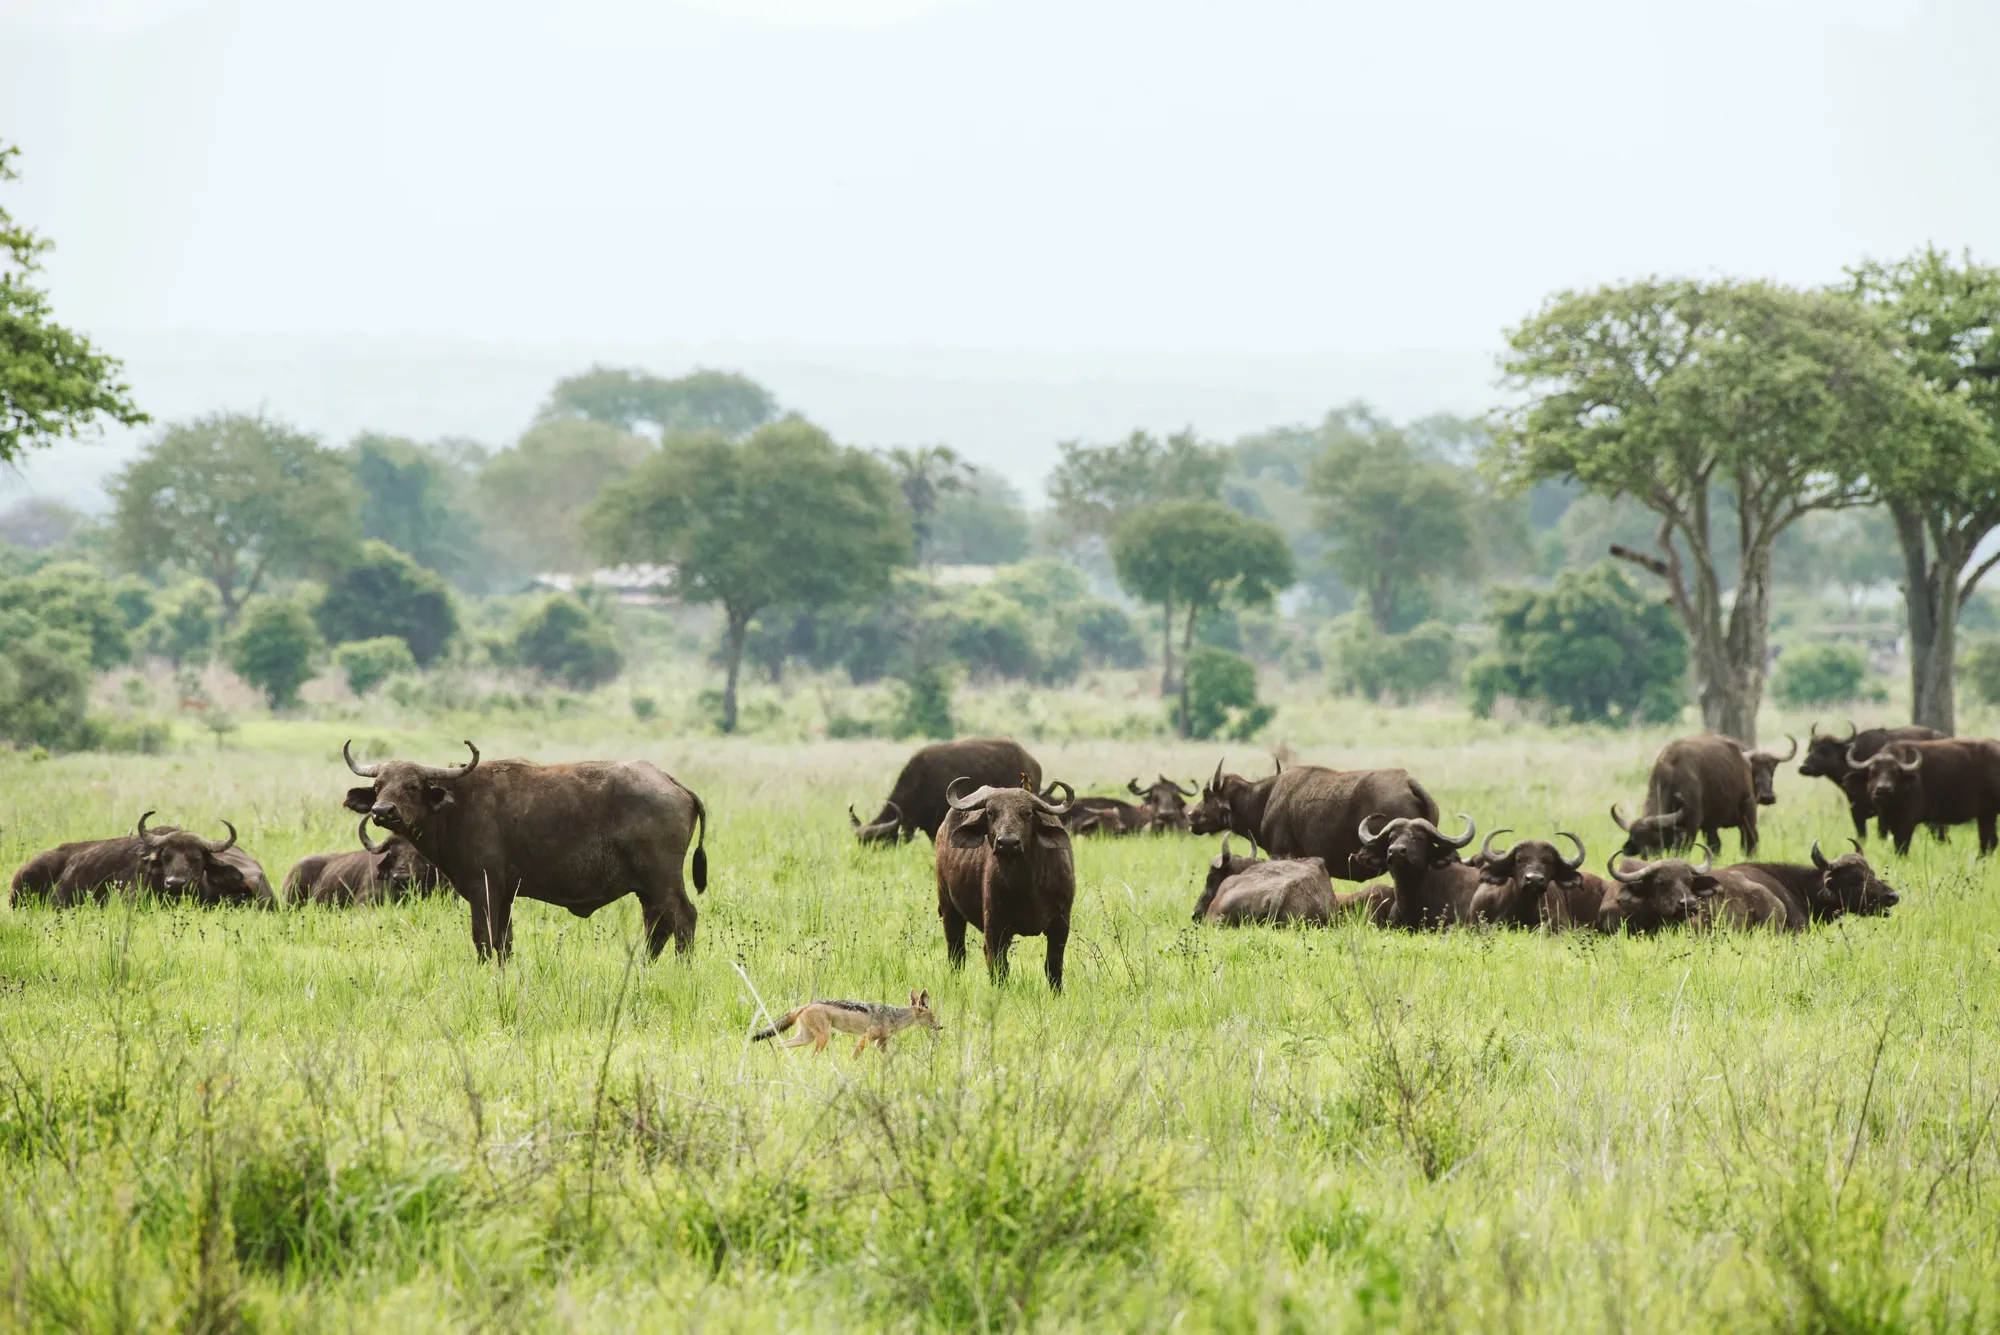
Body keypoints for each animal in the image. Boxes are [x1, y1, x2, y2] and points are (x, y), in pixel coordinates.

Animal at [344, 740, 708, 960]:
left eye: (411, 786)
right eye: (378, 785)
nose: (382, 811)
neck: (458, 807)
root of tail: (672, 783)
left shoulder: (484, 889)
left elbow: (483, 939)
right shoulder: (504, 896)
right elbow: (503, 943)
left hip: (663, 881)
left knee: (684, 920)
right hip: (647, 890)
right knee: (658, 927)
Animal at [934, 778, 1075, 990]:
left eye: (1027, 813)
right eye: (990, 813)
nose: (1007, 843)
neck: (1025, 885)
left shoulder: (1061, 924)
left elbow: (1053, 966)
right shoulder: (995, 927)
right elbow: (999, 967)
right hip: (948, 907)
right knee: (956, 952)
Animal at [1798, 722, 1945, 842]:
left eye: (1824, 750)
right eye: (1810, 749)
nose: (1804, 767)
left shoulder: (1882, 812)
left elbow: (1882, 835)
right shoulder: (1856, 811)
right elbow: (1862, 836)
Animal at [1848, 738, 2000, 855]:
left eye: (1895, 772)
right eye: (1873, 771)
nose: (1884, 789)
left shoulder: (1908, 821)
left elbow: (1902, 845)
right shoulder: (1889, 821)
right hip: (1987, 813)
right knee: (1989, 841)